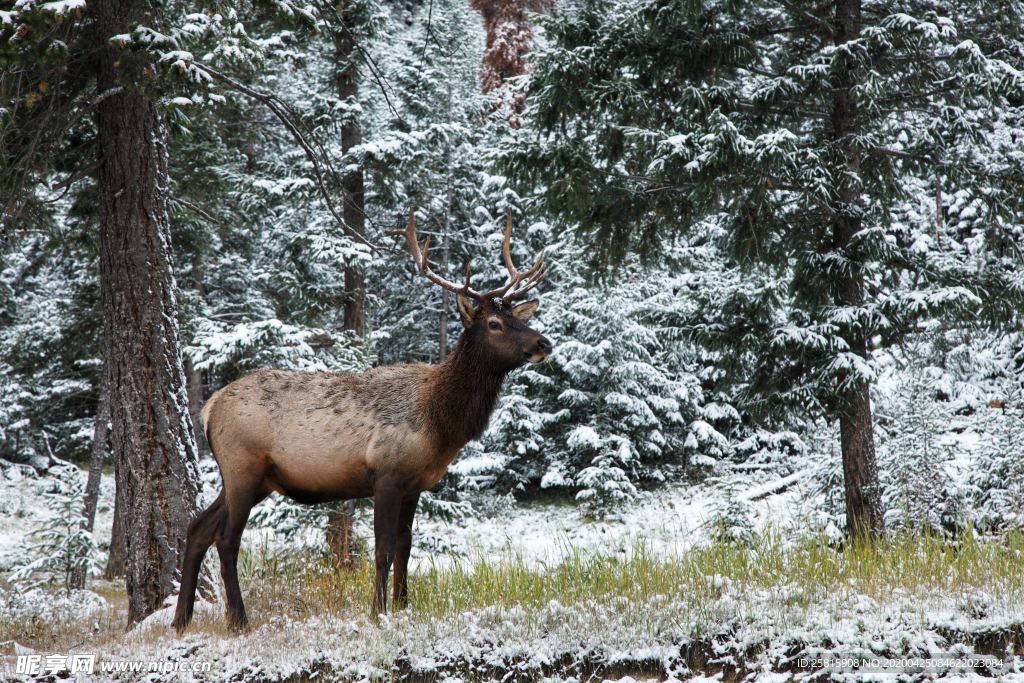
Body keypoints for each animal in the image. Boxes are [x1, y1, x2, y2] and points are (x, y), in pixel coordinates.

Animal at [172, 210, 552, 634]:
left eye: (515, 317)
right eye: (493, 324)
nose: (543, 343)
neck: (440, 423)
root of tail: (209, 408)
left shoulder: (414, 484)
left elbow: (406, 547)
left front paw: (403, 607)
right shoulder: (386, 473)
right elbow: (383, 549)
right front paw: (377, 611)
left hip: (255, 478)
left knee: (197, 528)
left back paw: (180, 620)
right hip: (243, 467)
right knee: (226, 539)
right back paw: (238, 619)